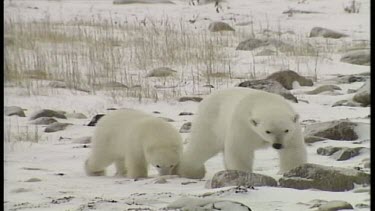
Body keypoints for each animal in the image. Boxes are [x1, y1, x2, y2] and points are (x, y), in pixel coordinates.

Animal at [179, 87, 308, 178]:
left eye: (286, 130)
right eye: (267, 131)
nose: (278, 145)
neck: (263, 100)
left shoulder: (293, 132)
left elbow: (292, 150)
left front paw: (289, 171)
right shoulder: (243, 125)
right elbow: (240, 149)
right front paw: (243, 172)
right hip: (211, 121)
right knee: (202, 145)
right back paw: (190, 171)